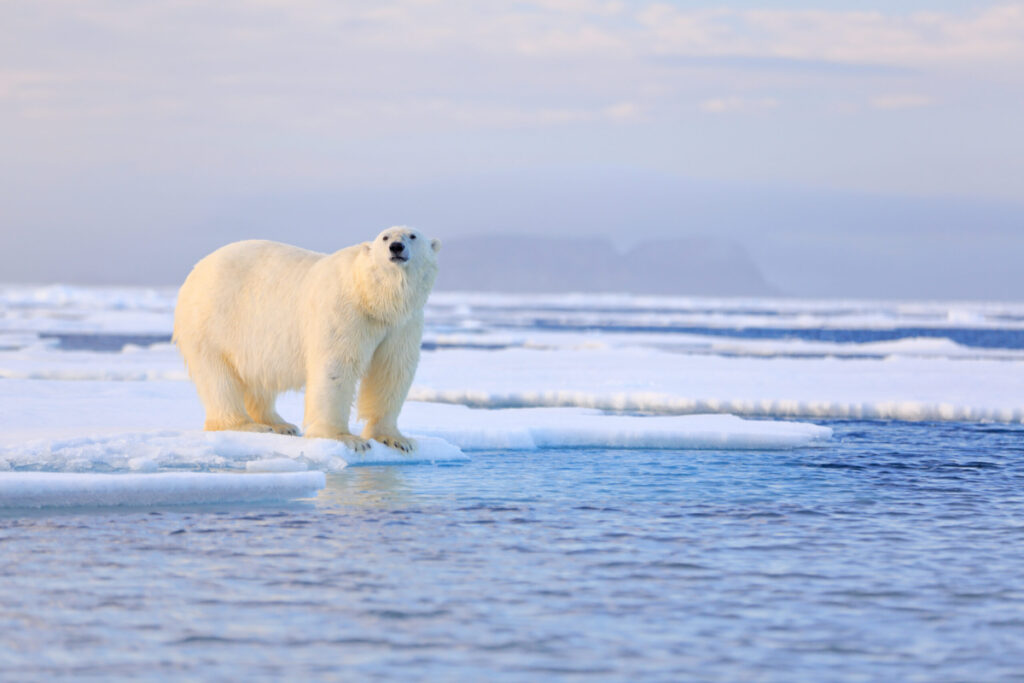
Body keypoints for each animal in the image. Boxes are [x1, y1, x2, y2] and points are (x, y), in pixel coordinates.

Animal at [172, 226, 440, 452]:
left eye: (412, 236)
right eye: (384, 237)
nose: (396, 247)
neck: (371, 296)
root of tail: (196, 270)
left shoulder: (402, 324)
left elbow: (391, 370)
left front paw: (396, 439)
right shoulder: (343, 311)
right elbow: (337, 367)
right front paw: (346, 439)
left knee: (258, 378)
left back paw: (280, 424)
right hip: (212, 322)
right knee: (218, 378)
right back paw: (246, 425)